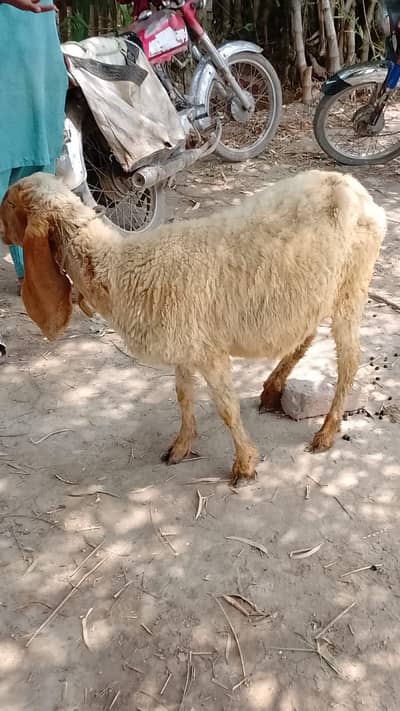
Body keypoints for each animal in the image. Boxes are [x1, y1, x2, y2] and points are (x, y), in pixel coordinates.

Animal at [0, 170, 386, 485]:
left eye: (11, 205)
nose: (2, 234)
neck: (123, 269)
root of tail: (357, 189)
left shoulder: (209, 350)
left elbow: (226, 408)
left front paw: (244, 465)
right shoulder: (185, 347)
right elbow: (183, 395)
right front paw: (181, 446)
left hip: (352, 285)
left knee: (349, 359)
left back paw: (326, 432)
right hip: (313, 292)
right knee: (306, 335)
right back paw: (273, 388)